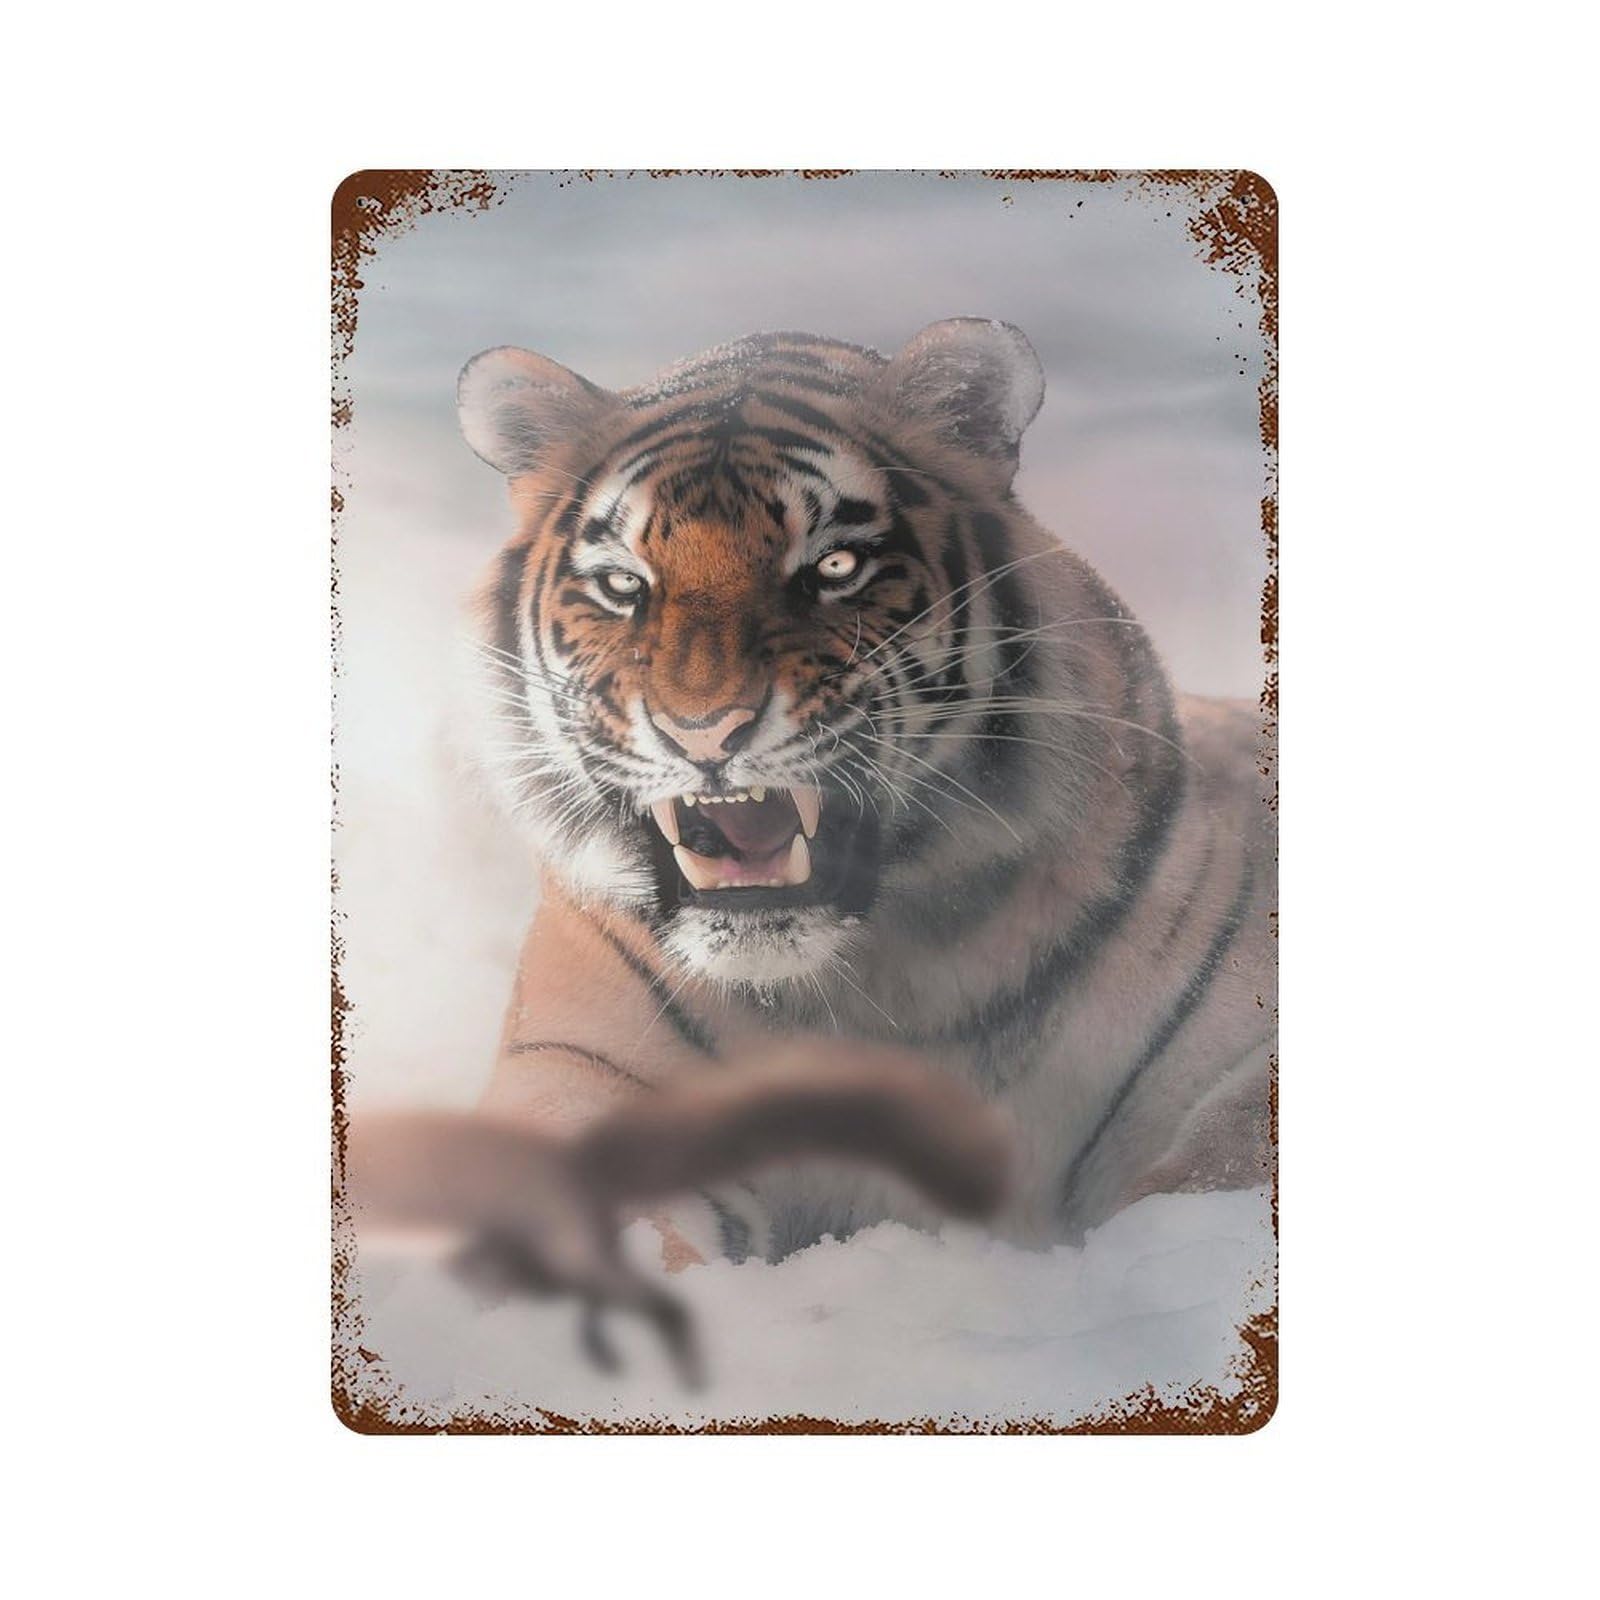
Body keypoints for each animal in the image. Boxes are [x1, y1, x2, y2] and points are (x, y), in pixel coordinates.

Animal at [452, 317, 1275, 1264]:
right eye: (625, 584)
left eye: (835, 566)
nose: (703, 731)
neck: (866, 991)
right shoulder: (575, 1073)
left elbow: (1225, 1157)